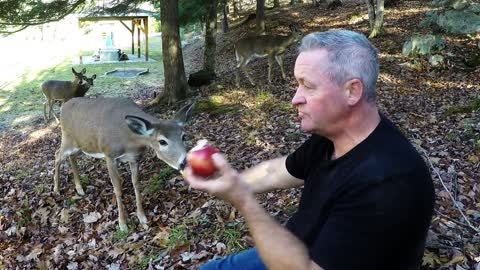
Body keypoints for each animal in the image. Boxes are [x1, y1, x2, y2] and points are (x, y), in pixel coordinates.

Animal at [53, 97, 195, 232]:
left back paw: (79, 189)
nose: (184, 162)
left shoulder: (134, 158)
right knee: (57, 156)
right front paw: (122, 224)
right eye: (162, 141)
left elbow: (136, 183)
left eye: (184, 136)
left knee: (71, 157)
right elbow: (117, 188)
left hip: (79, 145)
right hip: (67, 139)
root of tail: (63, 106)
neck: (129, 139)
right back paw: (56, 190)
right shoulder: (109, 155)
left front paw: (142, 216)